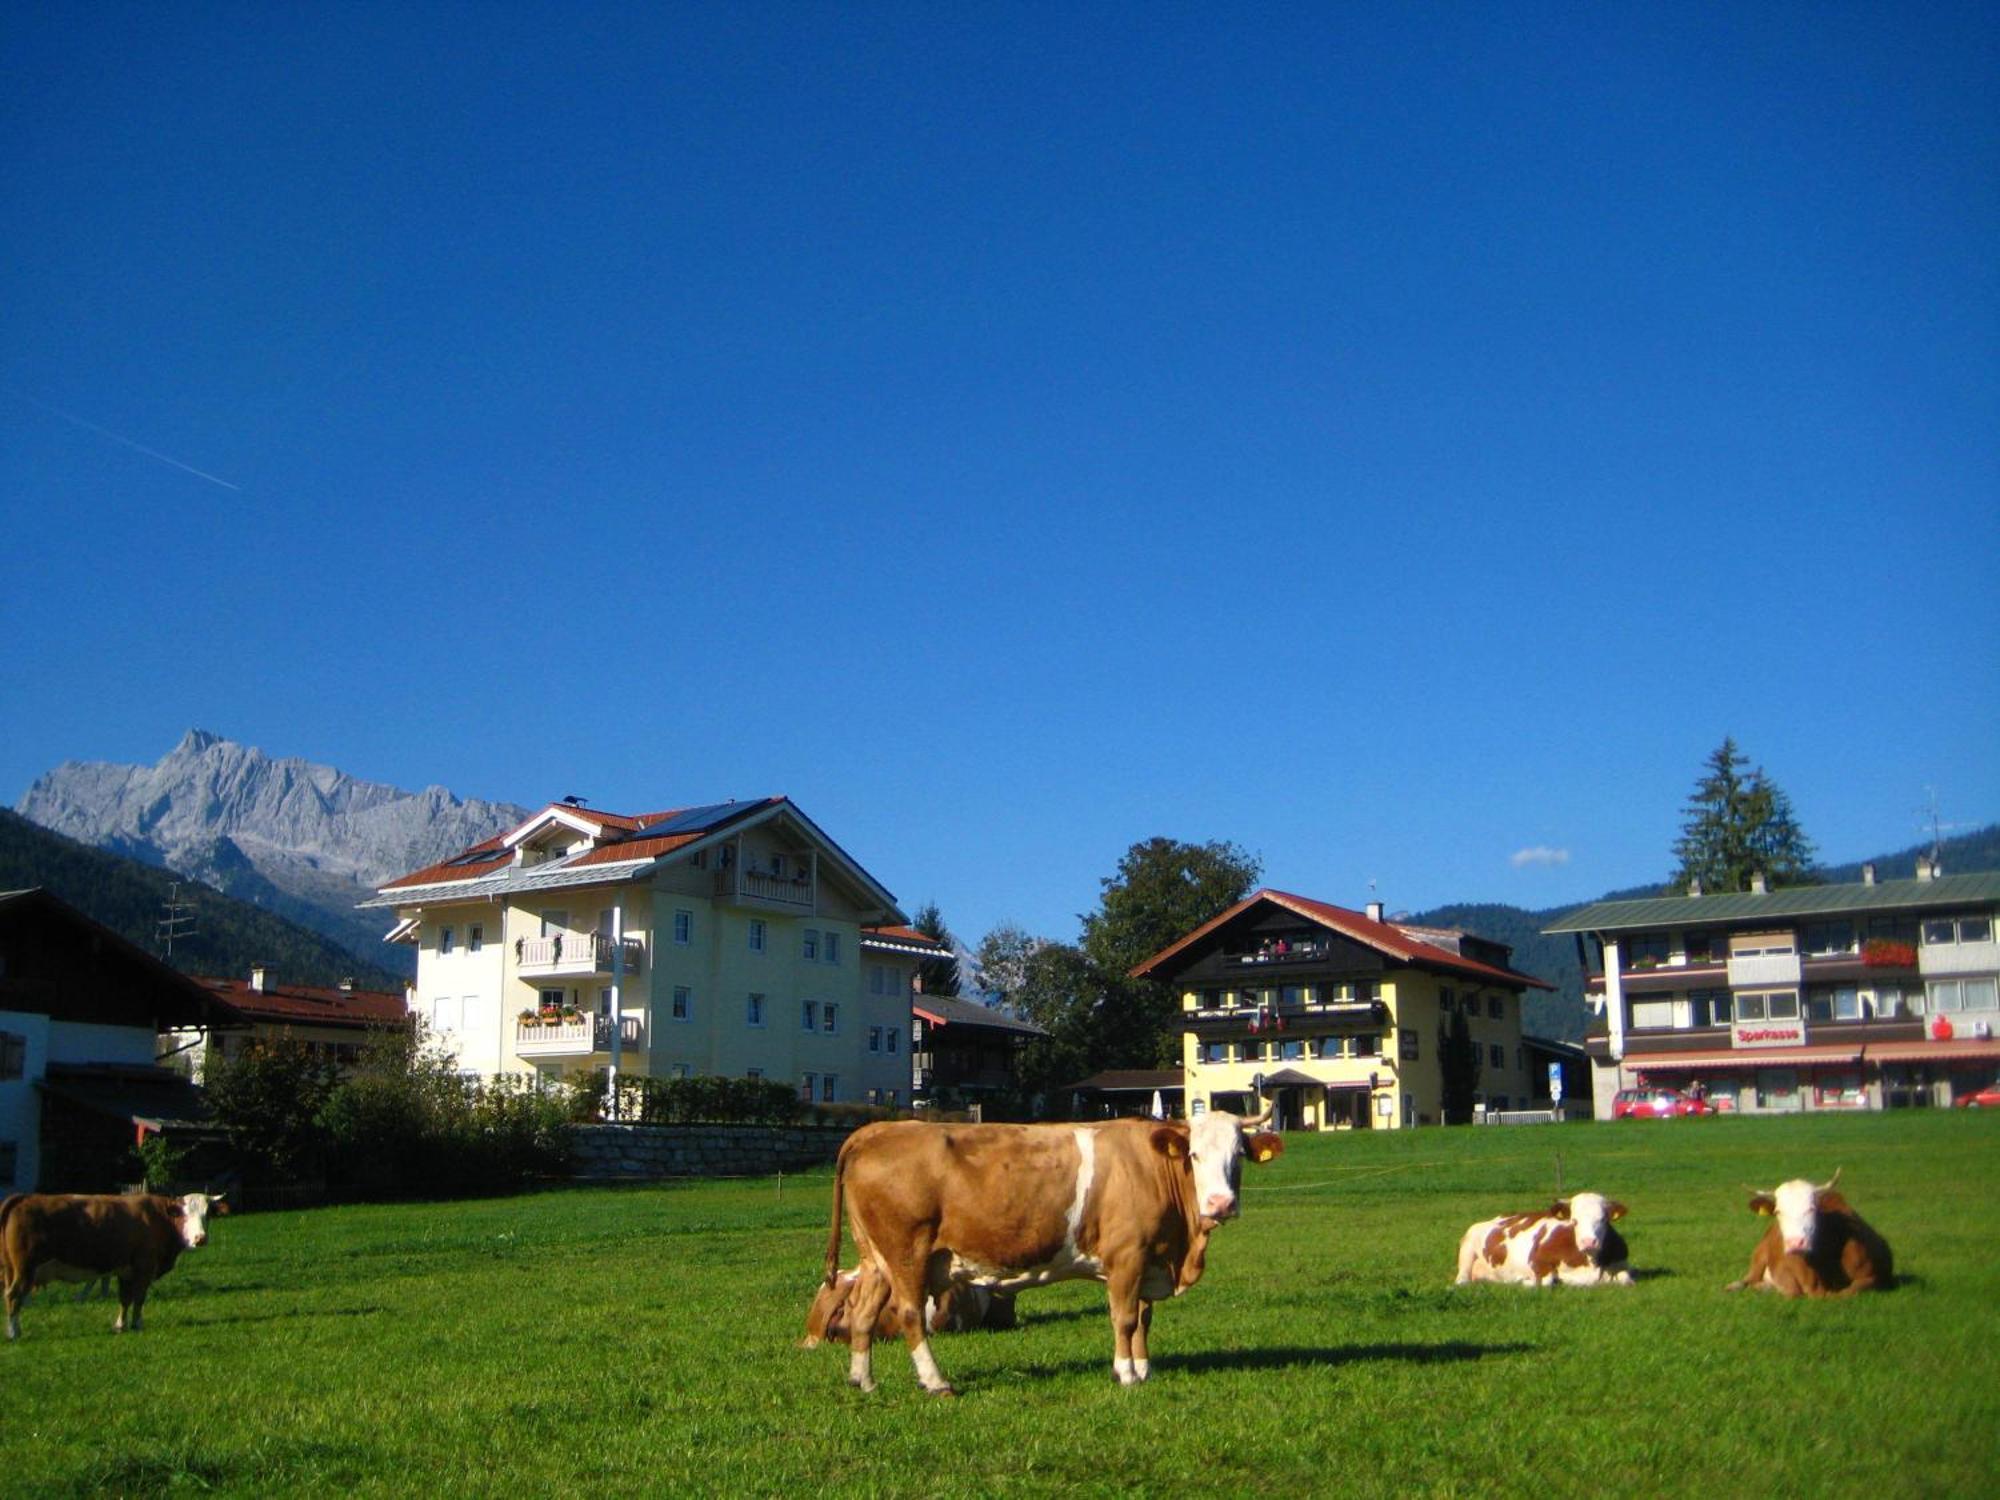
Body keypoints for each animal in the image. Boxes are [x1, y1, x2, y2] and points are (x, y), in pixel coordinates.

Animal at [1, 1192, 228, 1344]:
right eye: (183, 1214)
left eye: (207, 1214)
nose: (200, 1238)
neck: (158, 1217)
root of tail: (23, 1197)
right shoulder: (144, 1267)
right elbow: (139, 1298)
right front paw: (137, 1324)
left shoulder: (125, 1271)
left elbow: (125, 1299)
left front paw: (120, 1325)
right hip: (25, 1269)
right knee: (13, 1296)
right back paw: (14, 1332)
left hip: (12, 1270)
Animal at [824, 1104, 1280, 1400]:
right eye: (1194, 1154)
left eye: (1239, 1155)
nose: (1221, 1204)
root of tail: (878, 1130)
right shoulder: (1127, 1256)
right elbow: (1125, 1318)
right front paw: (1126, 1374)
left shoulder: (1149, 1259)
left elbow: (1144, 1319)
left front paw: (1144, 1368)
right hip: (907, 1253)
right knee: (909, 1315)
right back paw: (936, 1382)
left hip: (875, 1257)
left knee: (864, 1313)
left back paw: (863, 1380)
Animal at [1464, 1200, 1632, 1296]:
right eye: (1574, 1220)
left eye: (1603, 1219)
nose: (1588, 1242)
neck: (1591, 1262)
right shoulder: (1536, 1261)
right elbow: (1545, 1282)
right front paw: (1524, 1282)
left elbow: (1626, 1279)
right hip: (1468, 1243)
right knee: (1463, 1279)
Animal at [1720, 1168, 1888, 1296]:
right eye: (1778, 1211)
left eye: (1812, 1208)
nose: (1795, 1243)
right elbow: (1792, 1291)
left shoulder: (1871, 1277)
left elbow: (1846, 1293)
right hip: (1759, 1255)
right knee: (1748, 1279)